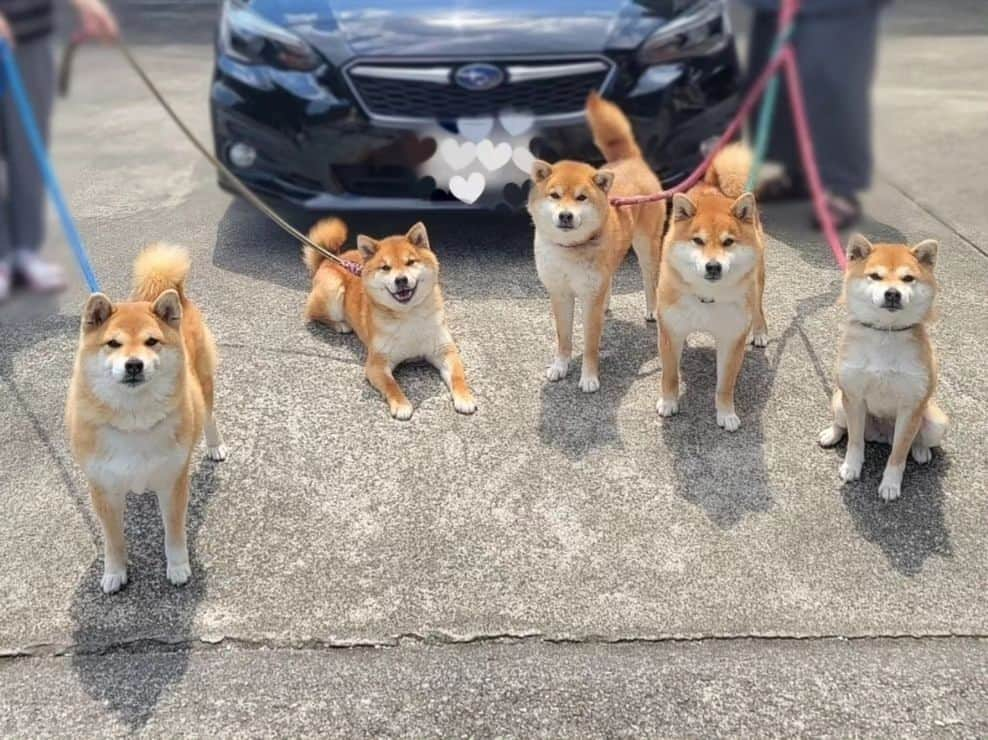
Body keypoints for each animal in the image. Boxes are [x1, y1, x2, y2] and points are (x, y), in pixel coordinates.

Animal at [66, 246, 225, 592]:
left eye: (152, 341)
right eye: (113, 343)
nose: (134, 364)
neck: (133, 420)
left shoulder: (173, 482)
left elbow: (174, 534)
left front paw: (178, 567)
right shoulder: (103, 489)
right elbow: (113, 540)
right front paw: (114, 572)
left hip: (204, 382)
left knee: (209, 415)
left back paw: (215, 446)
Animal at [302, 217, 476, 420]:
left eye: (410, 262)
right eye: (385, 267)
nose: (401, 280)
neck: (408, 315)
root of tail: (329, 259)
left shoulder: (445, 350)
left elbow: (458, 376)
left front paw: (465, 397)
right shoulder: (377, 363)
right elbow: (391, 385)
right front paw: (401, 404)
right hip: (333, 291)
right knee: (313, 314)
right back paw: (341, 325)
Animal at [524, 91, 664, 394]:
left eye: (581, 198)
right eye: (555, 195)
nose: (565, 215)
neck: (569, 251)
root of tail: (630, 160)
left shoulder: (589, 298)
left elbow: (590, 344)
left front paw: (589, 378)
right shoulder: (560, 293)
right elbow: (564, 337)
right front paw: (560, 366)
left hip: (647, 246)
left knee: (650, 281)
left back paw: (651, 309)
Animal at [660, 145, 768, 430]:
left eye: (728, 242)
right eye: (697, 241)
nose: (713, 267)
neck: (707, 298)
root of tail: (712, 186)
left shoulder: (731, 339)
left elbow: (725, 385)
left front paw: (726, 413)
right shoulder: (670, 331)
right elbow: (669, 375)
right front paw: (668, 402)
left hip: (757, 279)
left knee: (758, 307)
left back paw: (760, 331)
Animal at [820, 236, 948, 502]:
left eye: (908, 278)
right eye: (875, 276)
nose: (892, 293)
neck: (885, 334)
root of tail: (881, 435)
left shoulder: (910, 407)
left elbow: (898, 454)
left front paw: (890, 484)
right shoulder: (854, 398)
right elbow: (855, 441)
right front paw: (851, 467)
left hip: (936, 423)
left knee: (916, 441)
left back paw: (921, 451)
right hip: (839, 401)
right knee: (842, 425)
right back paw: (831, 434)